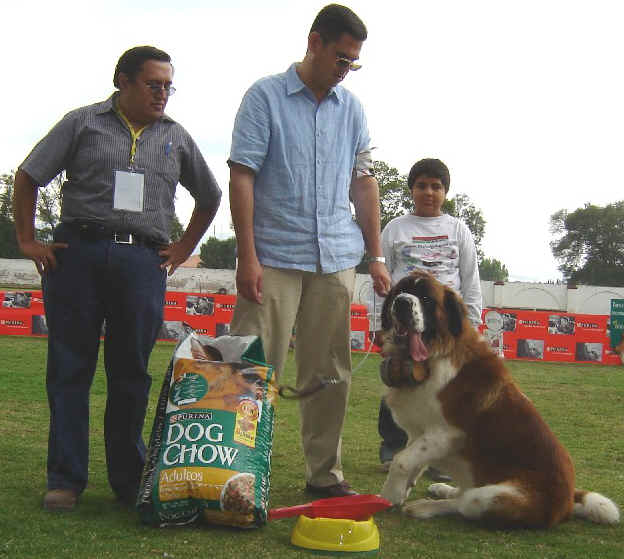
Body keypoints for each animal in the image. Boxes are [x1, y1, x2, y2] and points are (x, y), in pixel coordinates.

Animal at [378, 272, 616, 528]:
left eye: (426, 299)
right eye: (399, 290)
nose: (402, 302)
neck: (435, 355)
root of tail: (568, 502)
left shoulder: (444, 433)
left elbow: (402, 460)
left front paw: (388, 495)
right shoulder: (419, 432)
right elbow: (412, 460)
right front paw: (401, 491)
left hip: (494, 497)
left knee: (464, 503)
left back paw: (426, 506)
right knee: (462, 493)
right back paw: (443, 489)